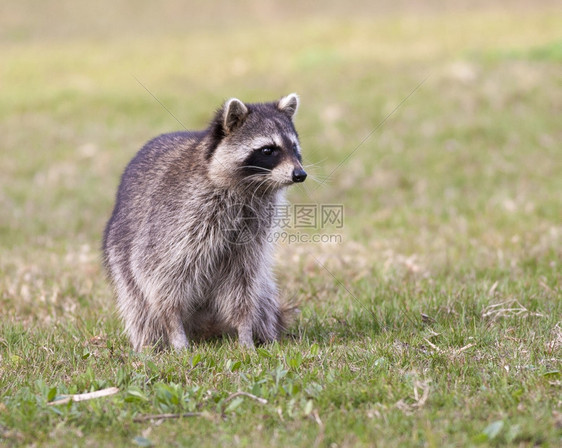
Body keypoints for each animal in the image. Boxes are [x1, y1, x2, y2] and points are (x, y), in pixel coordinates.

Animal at [100, 93, 302, 350]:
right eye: (268, 150)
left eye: (294, 148)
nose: (300, 174)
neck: (249, 188)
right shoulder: (179, 218)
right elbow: (158, 275)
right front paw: (175, 329)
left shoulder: (251, 234)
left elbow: (243, 284)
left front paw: (245, 330)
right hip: (121, 258)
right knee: (139, 306)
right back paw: (149, 344)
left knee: (263, 295)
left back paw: (266, 334)